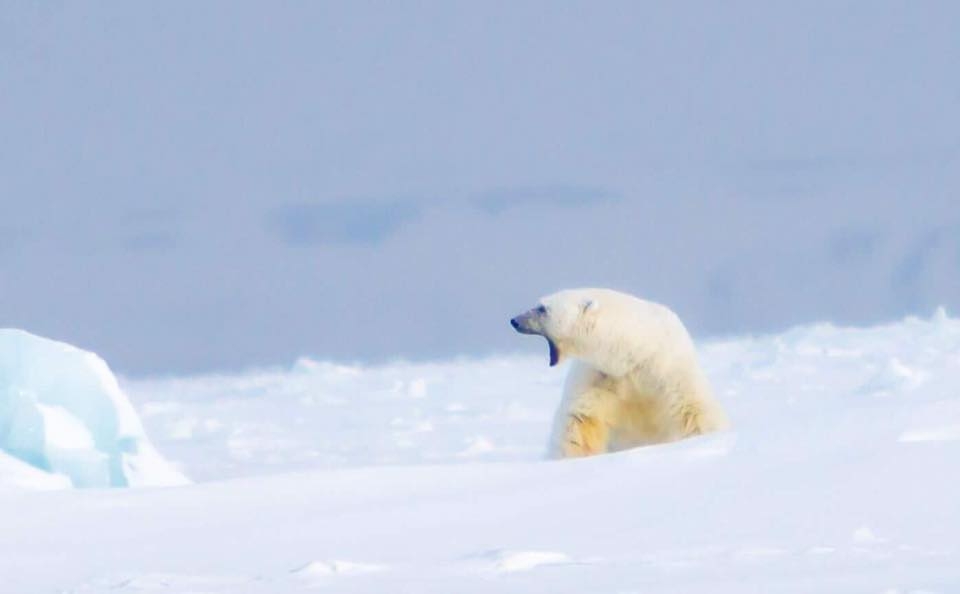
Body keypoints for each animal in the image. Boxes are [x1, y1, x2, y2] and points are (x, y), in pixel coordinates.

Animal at [510, 290, 728, 456]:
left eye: (542, 308)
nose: (514, 320)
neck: (634, 351)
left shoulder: (668, 367)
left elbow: (693, 410)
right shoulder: (600, 377)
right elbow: (581, 420)